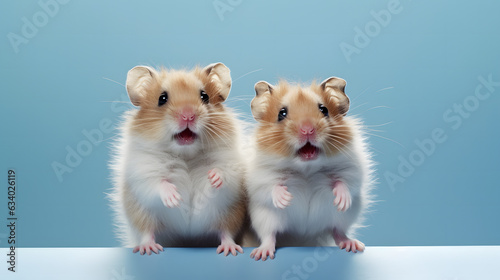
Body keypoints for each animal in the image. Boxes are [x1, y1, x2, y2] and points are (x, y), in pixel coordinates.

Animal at [111, 63, 248, 256]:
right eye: (162, 98)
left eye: (204, 96)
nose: (188, 116)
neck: (186, 154)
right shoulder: (142, 171)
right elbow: (157, 183)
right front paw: (175, 199)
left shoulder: (233, 166)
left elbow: (224, 172)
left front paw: (213, 178)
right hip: (141, 216)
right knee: (147, 231)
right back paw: (148, 248)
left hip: (229, 215)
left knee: (225, 232)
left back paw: (230, 249)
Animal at [246, 76, 376, 260]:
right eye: (281, 114)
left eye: (324, 109)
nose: (307, 130)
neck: (307, 169)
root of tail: (303, 237)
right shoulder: (260, 176)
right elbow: (271, 186)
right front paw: (285, 199)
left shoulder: (352, 167)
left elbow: (345, 181)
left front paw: (342, 200)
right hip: (265, 217)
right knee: (269, 235)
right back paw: (262, 254)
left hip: (343, 217)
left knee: (337, 231)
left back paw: (352, 245)